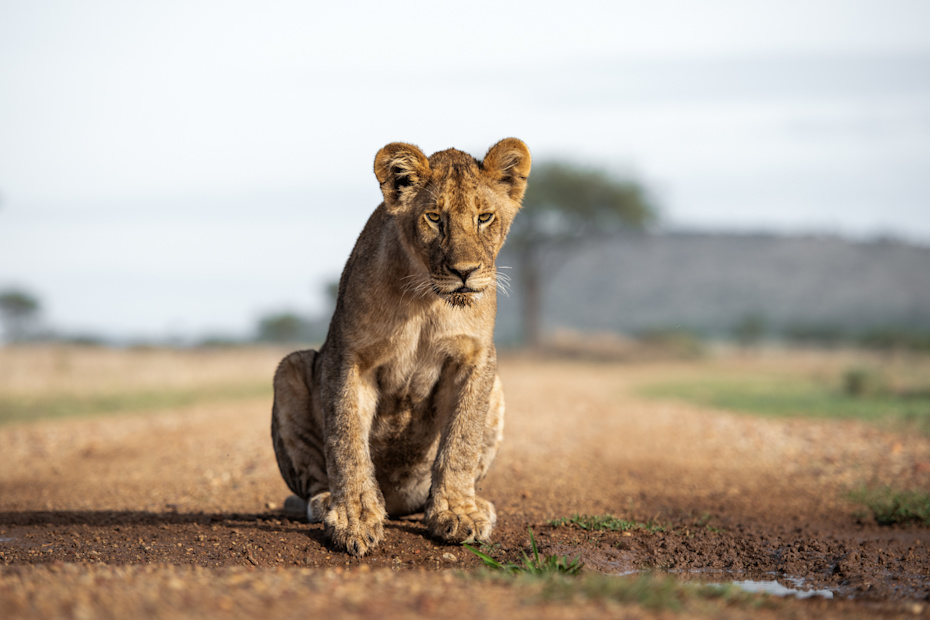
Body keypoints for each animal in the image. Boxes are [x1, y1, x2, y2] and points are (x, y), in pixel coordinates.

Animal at [270, 138, 531, 556]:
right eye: (434, 218)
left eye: (485, 217)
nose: (464, 272)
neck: (427, 300)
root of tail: (396, 502)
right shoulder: (349, 356)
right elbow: (346, 438)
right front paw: (354, 518)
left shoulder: (476, 358)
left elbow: (461, 441)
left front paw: (457, 512)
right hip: (290, 368)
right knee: (313, 484)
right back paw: (328, 503)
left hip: (497, 390)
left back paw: (475, 504)